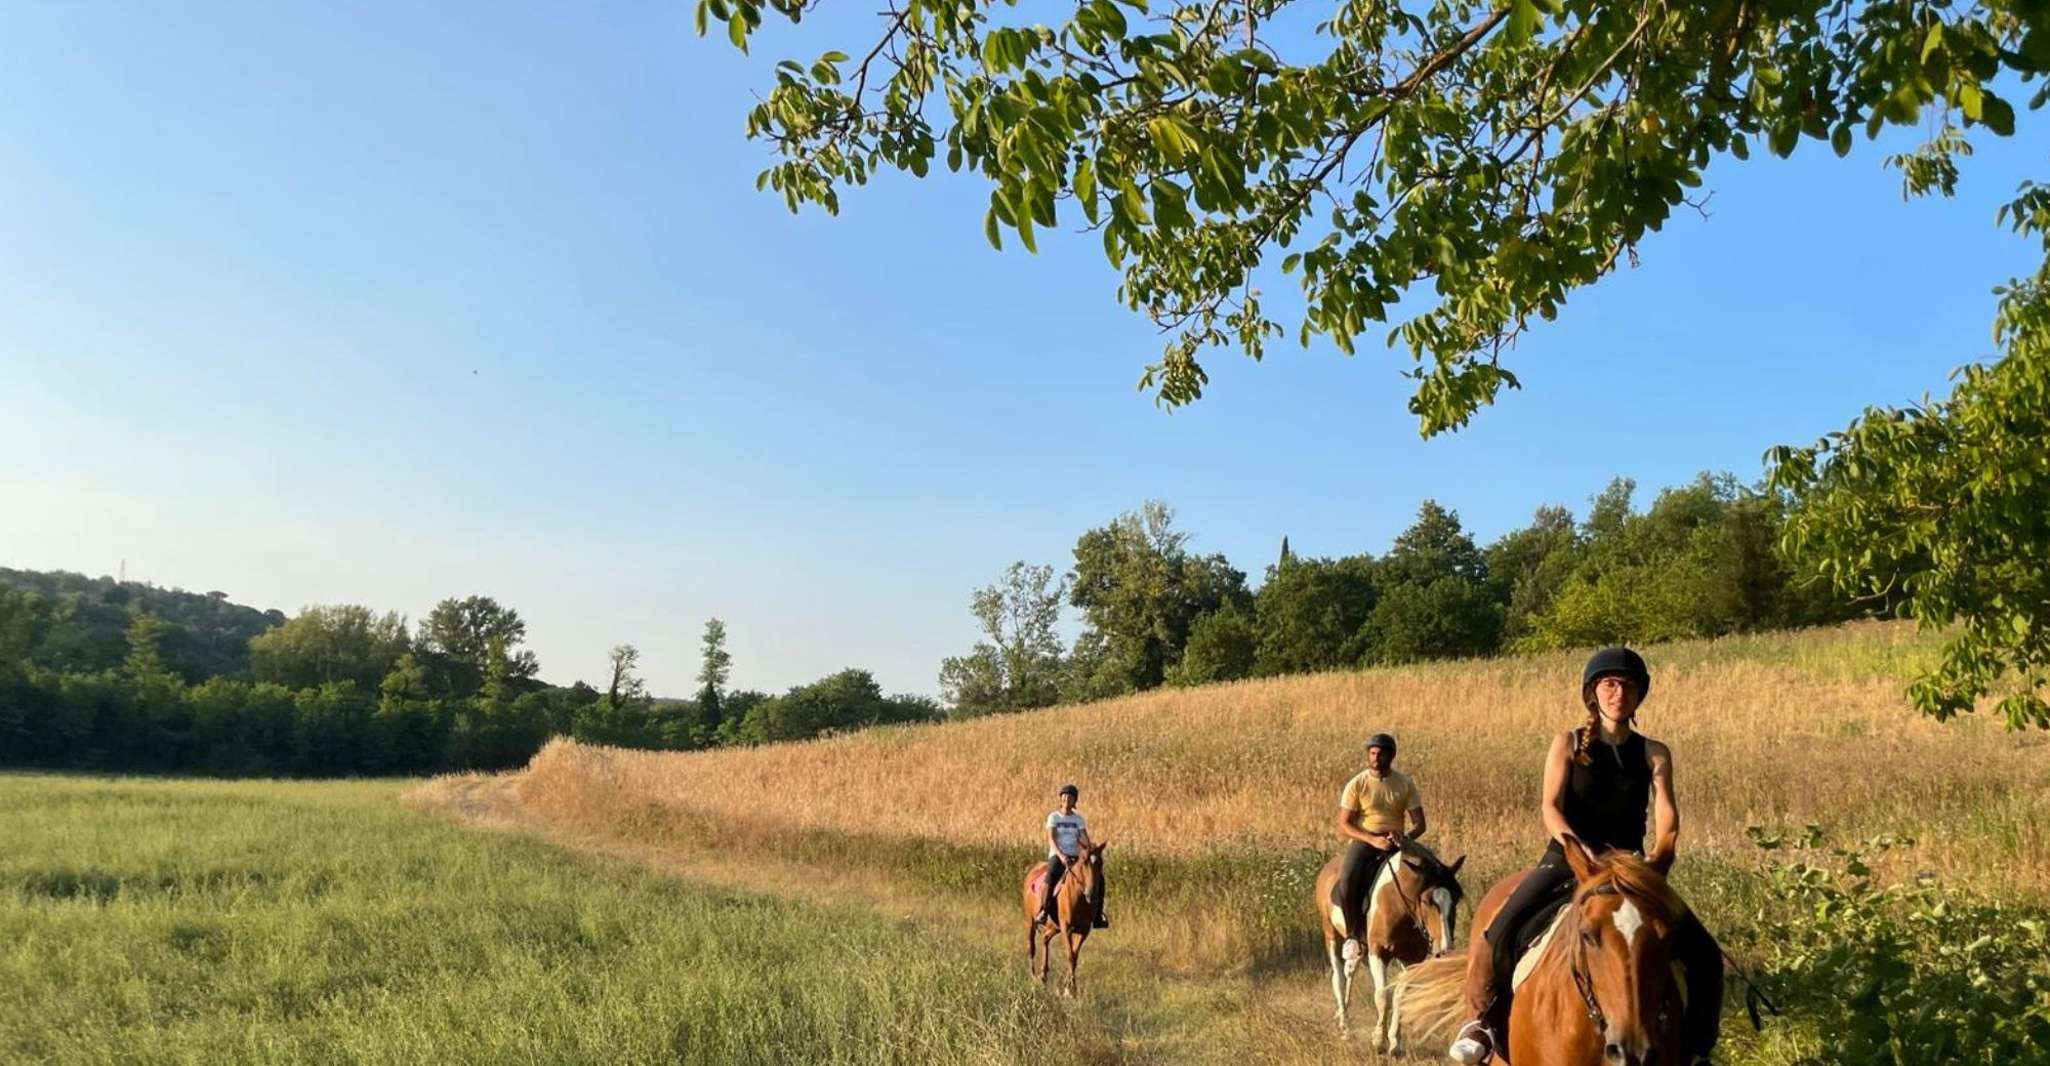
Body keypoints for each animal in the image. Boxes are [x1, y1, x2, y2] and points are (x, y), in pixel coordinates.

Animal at [1020, 840, 1107, 1000]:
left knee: (1045, 938)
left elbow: (1074, 957)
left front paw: (1070, 987)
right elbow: (1070, 956)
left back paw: (1043, 976)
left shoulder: (1084, 930)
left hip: (1055, 927)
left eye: (1101, 863)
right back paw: (1033, 976)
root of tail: (1033, 870)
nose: (1091, 893)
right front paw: (1069, 990)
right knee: (1032, 946)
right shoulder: (1067, 928)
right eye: (1083, 861)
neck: (1079, 897)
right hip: (1031, 921)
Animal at [1320, 840, 1467, 1049]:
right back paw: (1345, 1028)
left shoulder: (1412, 958)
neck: (1398, 904)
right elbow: (1382, 997)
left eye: (1455, 900)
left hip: (1361, 948)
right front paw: (1378, 1040)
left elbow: (1399, 997)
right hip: (1331, 935)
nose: (1444, 950)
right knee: (1339, 978)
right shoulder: (1378, 951)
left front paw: (1395, 1042)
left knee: (1350, 971)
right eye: (1426, 901)